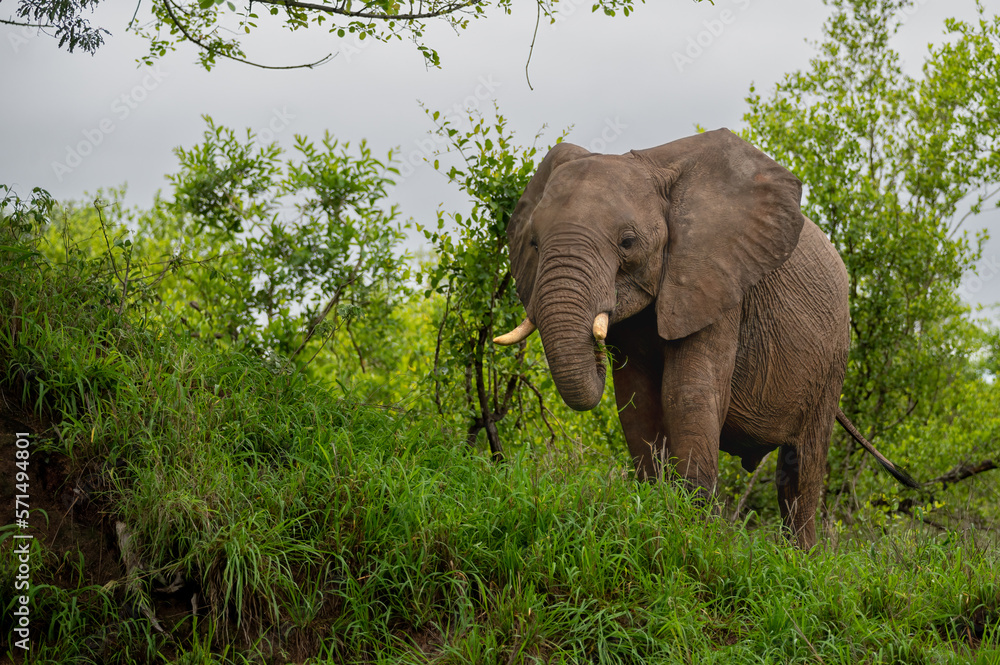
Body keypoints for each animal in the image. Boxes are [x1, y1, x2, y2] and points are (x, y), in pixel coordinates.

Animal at [494, 129, 918, 549]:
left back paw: (803, 558)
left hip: (833, 359)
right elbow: (636, 400)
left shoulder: (717, 281)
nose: (597, 343)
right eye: (533, 244)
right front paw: (656, 509)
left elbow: (688, 392)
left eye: (628, 243)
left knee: (802, 467)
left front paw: (693, 531)